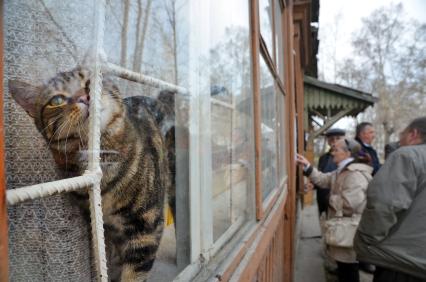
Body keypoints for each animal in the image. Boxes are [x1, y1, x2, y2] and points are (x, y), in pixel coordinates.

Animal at [8, 66, 175, 282]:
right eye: (56, 100)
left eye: (91, 81)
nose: (84, 96)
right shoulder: (101, 227)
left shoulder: (147, 227)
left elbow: (133, 274)